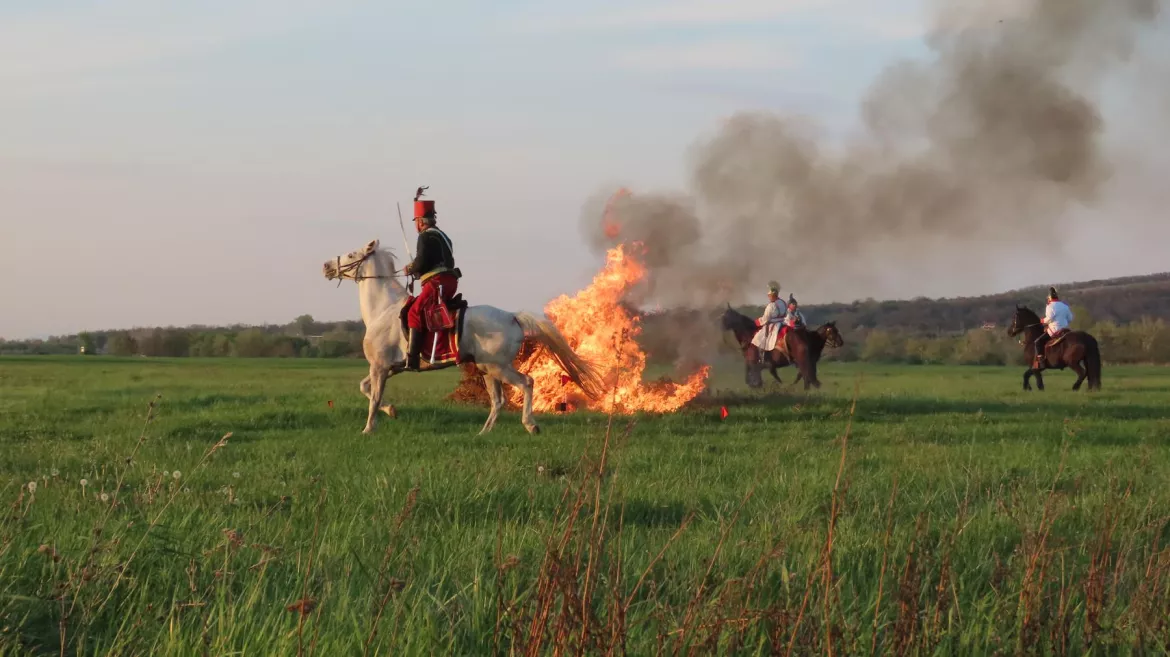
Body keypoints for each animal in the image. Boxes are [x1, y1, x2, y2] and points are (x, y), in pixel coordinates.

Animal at [325, 240, 608, 434]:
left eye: (351, 254)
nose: (326, 266)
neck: (383, 308)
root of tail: (512, 317)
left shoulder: (380, 367)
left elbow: (373, 398)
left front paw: (368, 429)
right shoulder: (390, 368)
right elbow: (366, 389)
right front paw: (391, 410)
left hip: (498, 367)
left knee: (526, 383)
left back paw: (530, 425)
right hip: (487, 369)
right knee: (498, 400)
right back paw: (484, 432)